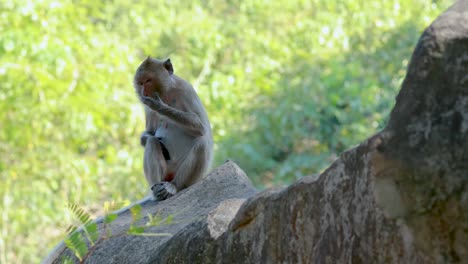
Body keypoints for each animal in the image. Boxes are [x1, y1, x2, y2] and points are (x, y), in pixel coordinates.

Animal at [132, 55, 212, 200]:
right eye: (140, 83)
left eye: (148, 80)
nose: (143, 92)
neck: (166, 94)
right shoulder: (146, 107)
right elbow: (150, 133)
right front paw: (147, 137)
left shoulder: (186, 90)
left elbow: (200, 127)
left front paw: (159, 106)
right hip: (166, 172)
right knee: (152, 142)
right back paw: (157, 190)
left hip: (192, 177)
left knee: (202, 143)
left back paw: (174, 187)